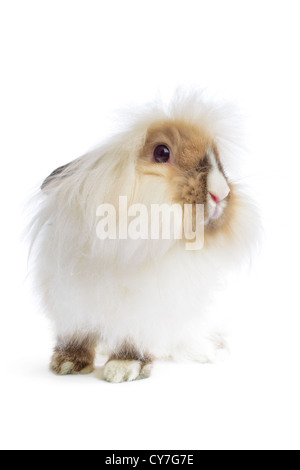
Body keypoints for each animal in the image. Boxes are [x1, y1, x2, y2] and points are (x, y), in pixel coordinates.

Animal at [28, 92, 258, 382]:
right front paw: (67, 364)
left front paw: (123, 368)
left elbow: (132, 341)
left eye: (220, 161)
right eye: (162, 152)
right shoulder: (70, 305)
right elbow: (77, 335)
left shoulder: (142, 313)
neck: (129, 248)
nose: (221, 193)